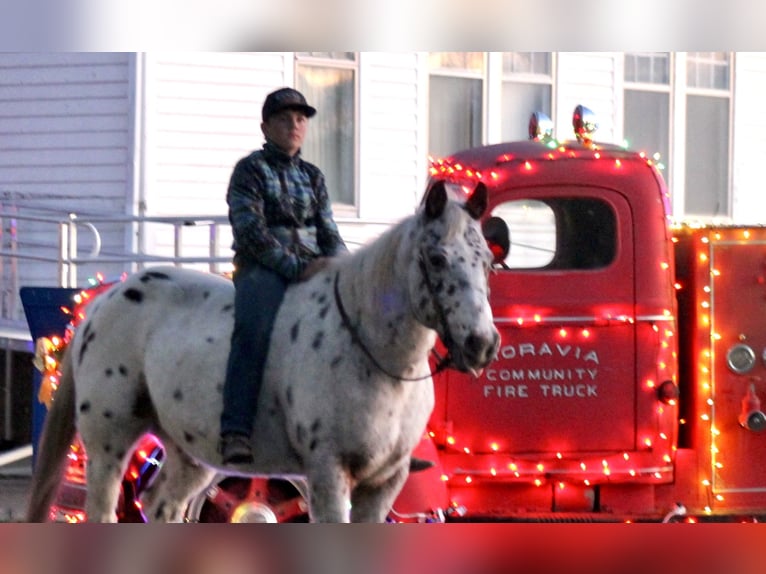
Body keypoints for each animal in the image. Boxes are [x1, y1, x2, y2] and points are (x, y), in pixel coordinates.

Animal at [27, 182, 500, 524]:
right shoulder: (328, 472)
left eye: (487, 261)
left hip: (189, 453)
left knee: (161, 505)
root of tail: (99, 305)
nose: (481, 343)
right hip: (109, 442)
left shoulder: (386, 481)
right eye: (436, 258)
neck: (373, 355)